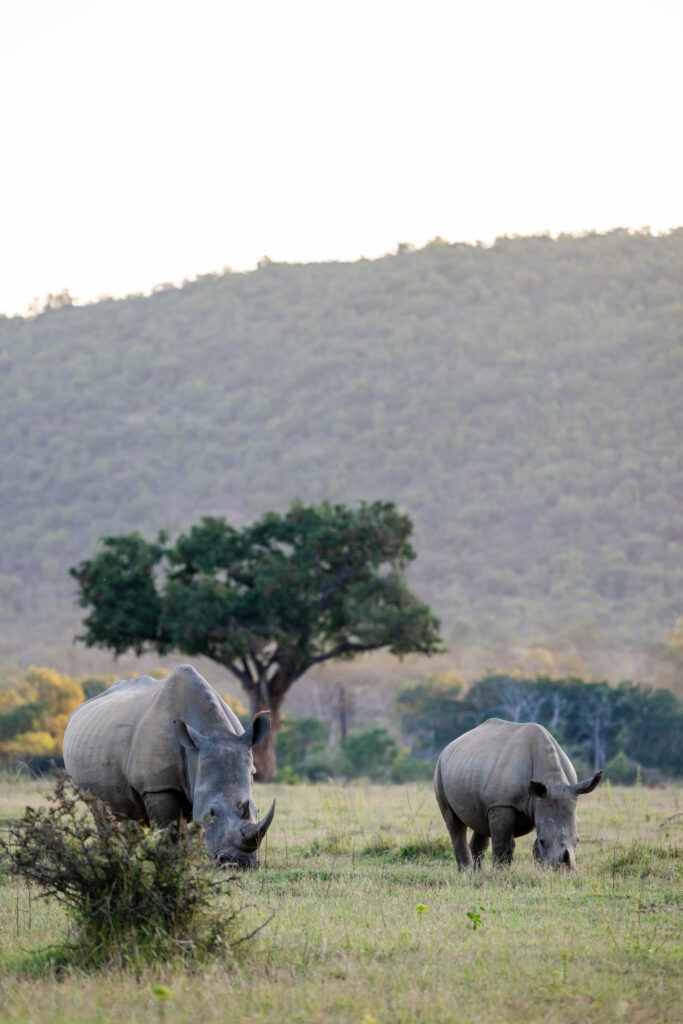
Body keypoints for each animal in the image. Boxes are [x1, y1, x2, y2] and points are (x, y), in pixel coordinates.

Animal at [63, 659, 274, 868]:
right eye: (212, 812)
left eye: (257, 810)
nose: (240, 863)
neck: (213, 732)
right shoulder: (158, 786)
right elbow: (172, 830)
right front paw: (174, 864)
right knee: (99, 809)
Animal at [436, 716, 602, 868]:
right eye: (543, 841)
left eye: (578, 840)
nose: (563, 871)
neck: (552, 780)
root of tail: (449, 745)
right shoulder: (501, 803)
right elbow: (502, 844)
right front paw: (500, 873)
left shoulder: (547, 801)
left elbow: (535, 848)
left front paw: (542, 872)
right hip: (440, 768)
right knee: (454, 823)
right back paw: (466, 872)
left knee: (480, 823)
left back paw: (476, 874)